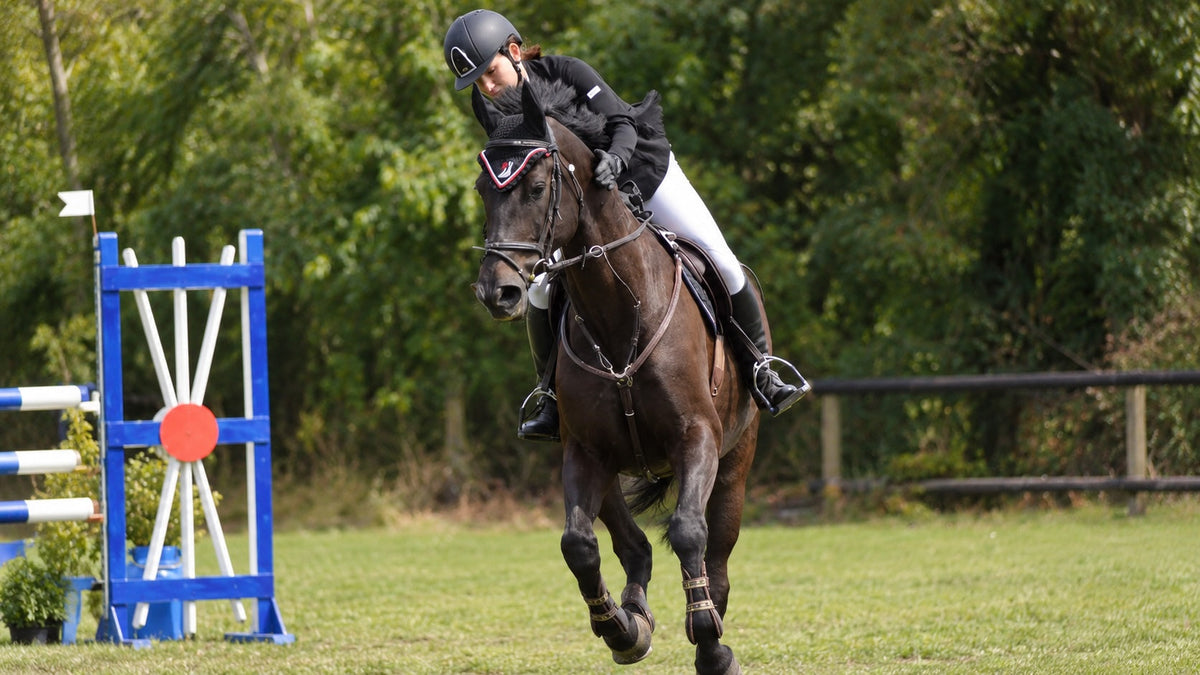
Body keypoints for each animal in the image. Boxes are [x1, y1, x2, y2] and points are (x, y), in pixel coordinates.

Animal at [471, 81, 760, 675]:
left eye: (537, 187)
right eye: (483, 190)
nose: (497, 292)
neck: (621, 310)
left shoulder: (696, 437)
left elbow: (689, 532)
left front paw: (709, 641)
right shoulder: (585, 450)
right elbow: (579, 545)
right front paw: (621, 630)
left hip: (735, 461)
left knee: (716, 553)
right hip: (600, 462)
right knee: (632, 545)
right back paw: (634, 617)